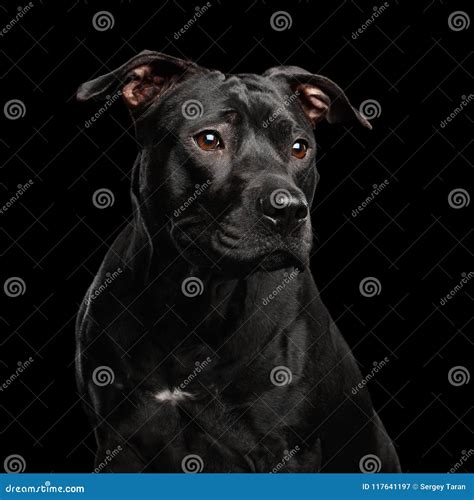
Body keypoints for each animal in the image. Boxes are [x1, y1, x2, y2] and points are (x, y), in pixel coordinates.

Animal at [77, 50, 400, 472]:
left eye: (300, 147)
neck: (194, 301)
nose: (289, 210)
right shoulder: (119, 442)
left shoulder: (286, 450)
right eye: (209, 139)